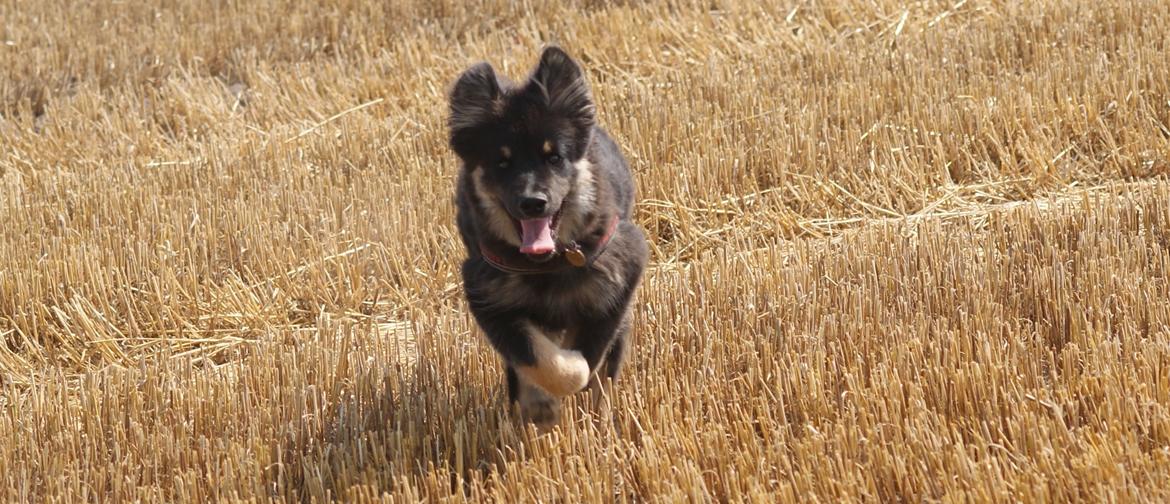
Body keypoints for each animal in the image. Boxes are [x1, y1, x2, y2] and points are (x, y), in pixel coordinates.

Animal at [446, 45, 650, 427]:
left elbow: (586, 359)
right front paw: (540, 404)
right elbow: (535, 356)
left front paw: (574, 379)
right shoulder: (488, 298)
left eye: (553, 157)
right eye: (502, 162)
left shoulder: (619, 280)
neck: (547, 264)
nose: (533, 203)